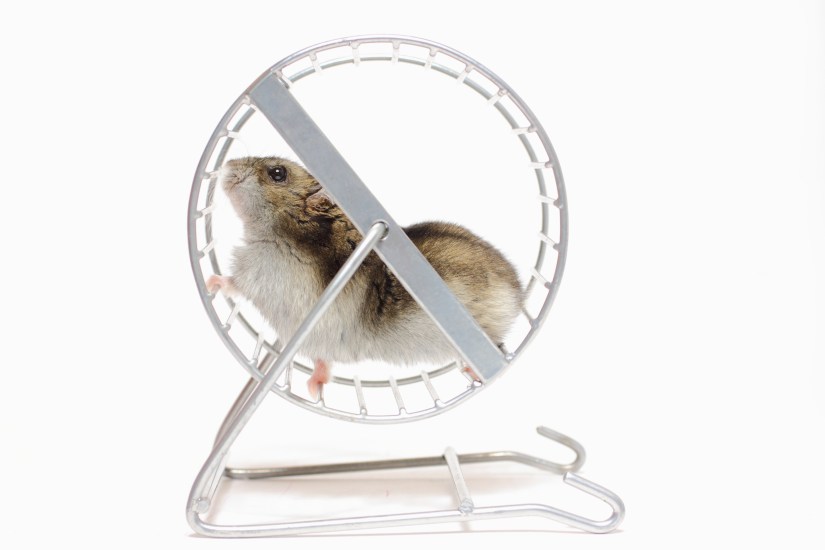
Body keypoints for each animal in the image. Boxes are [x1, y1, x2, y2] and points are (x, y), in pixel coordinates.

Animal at [207, 156, 523, 398]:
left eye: (277, 173)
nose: (226, 164)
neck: (277, 236)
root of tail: (520, 292)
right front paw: (314, 390)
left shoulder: (270, 285)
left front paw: (312, 391)